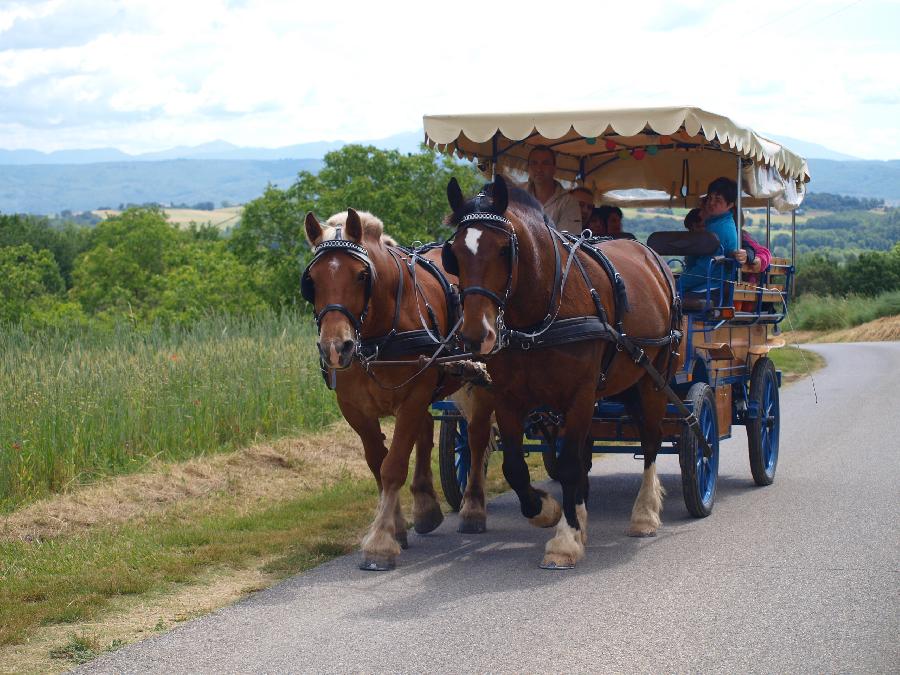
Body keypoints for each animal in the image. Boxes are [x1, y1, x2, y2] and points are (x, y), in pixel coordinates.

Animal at [306, 209, 496, 568]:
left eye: (361, 275)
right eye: (311, 280)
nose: (336, 348)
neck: (379, 334)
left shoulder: (412, 396)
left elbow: (392, 467)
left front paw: (380, 543)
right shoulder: (354, 409)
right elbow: (377, 464)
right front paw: (395, 527)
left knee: (476, 437)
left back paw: (473, 508)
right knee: (426, 430)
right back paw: (425, 506)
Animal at [446, 178, 680, 572]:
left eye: (503, 250)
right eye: (455, 254)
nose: (476, 335)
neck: (538, 316)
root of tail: (652, 258)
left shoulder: (579, 395)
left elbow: (569, 465)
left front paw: (565, 541)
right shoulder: (509, 399)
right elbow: (515, 467)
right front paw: (548, 510)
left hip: (653, 379)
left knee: (650, 441)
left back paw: (644, 514)